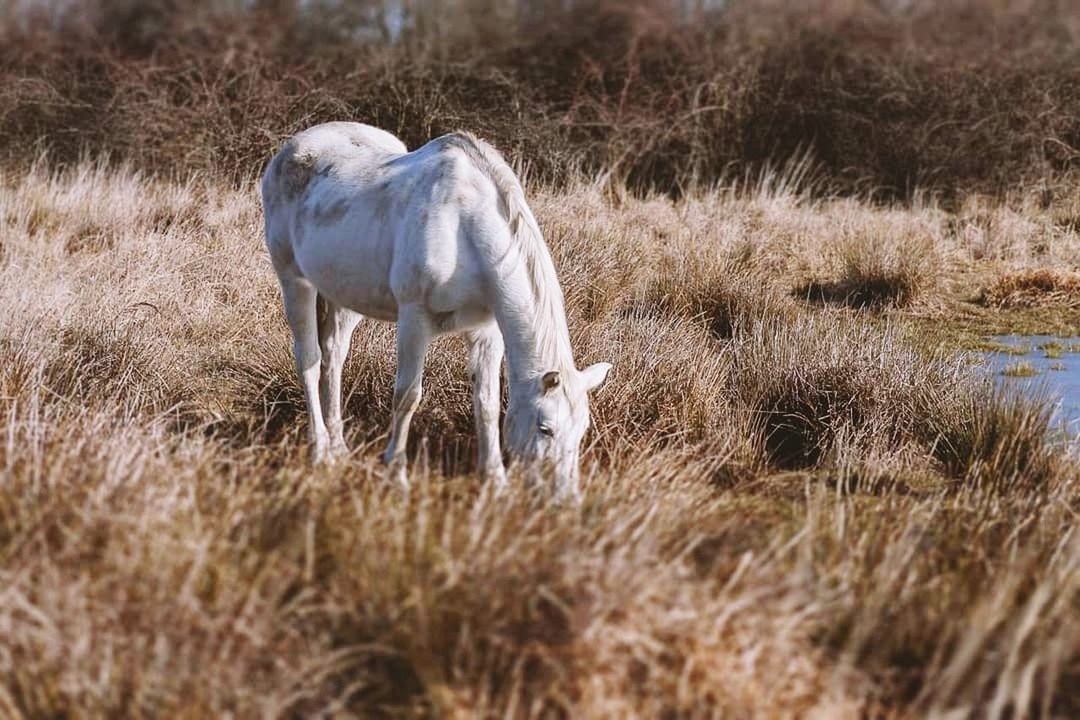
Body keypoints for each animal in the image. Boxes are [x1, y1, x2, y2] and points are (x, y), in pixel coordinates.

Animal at [258, 120, 613, 500]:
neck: (465, 228)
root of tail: (290, 149)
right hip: (295, 280)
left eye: (581, 431)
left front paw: (496, 480)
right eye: (545, 428)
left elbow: (487, 403)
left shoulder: (486, 330)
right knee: (309, 361)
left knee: (333, 357)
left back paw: (339, 446)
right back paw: (322, 450)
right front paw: (396, 475)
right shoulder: (414, 320)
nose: (565, 498)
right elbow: (407, 397)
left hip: (342, 292)